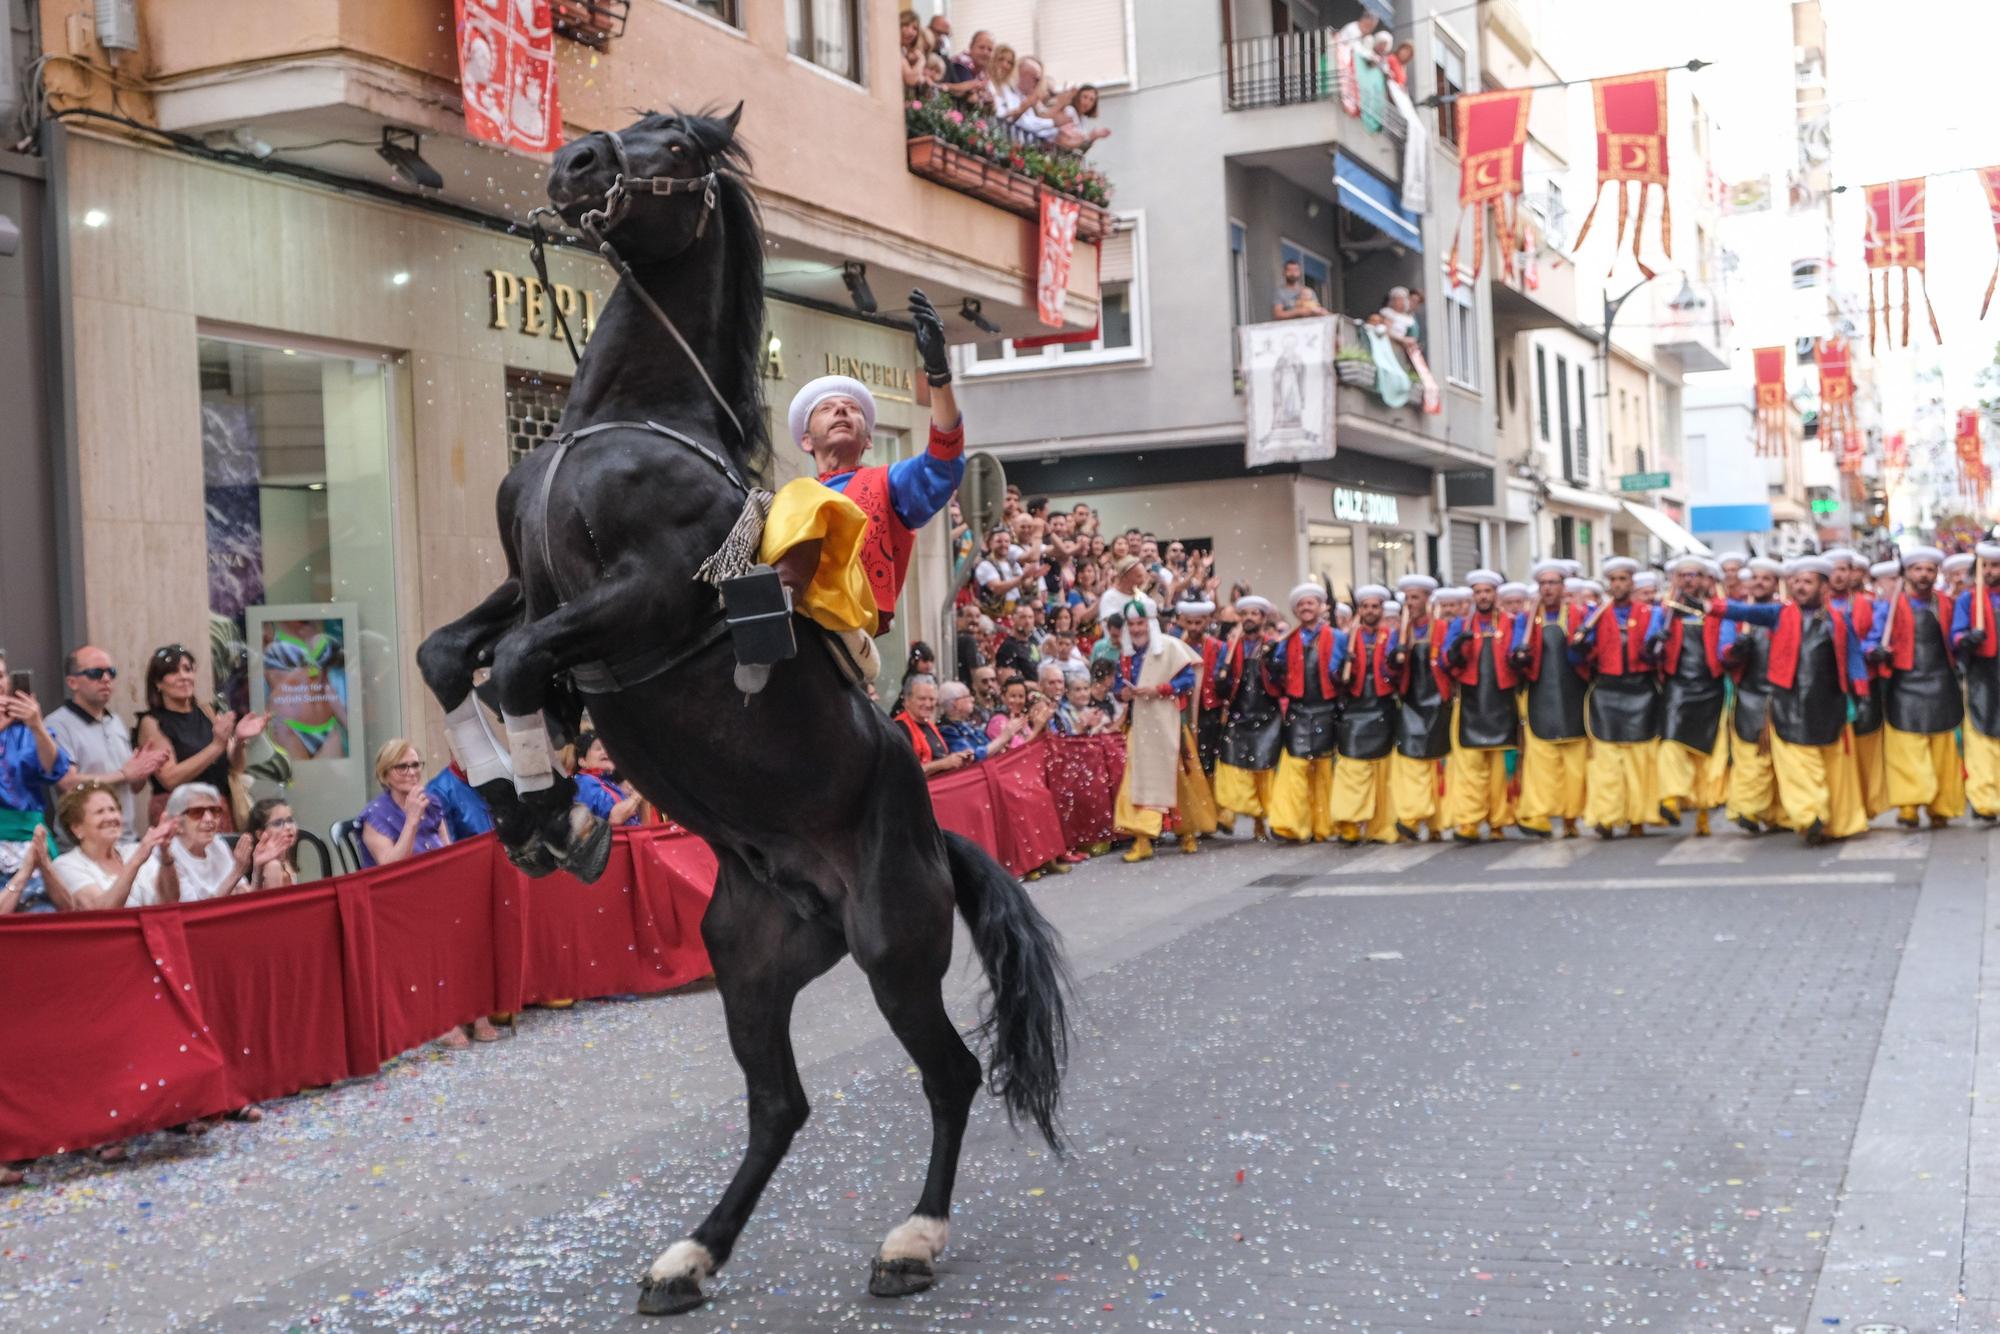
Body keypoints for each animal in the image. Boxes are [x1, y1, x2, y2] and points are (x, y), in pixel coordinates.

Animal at [414, 112, 1080, 1312]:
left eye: (675, 144)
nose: (576, 161)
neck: (621, 422)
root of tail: (935, 835)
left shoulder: (641, 599)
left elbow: (519, 662)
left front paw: (558, 812)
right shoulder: (525, 584)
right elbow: (451, 654)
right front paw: (525, 803)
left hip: (893, 944)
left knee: (949, 1073)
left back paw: (910, 1240)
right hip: (748, 958)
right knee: (780, 1104)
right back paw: (691, 1252)